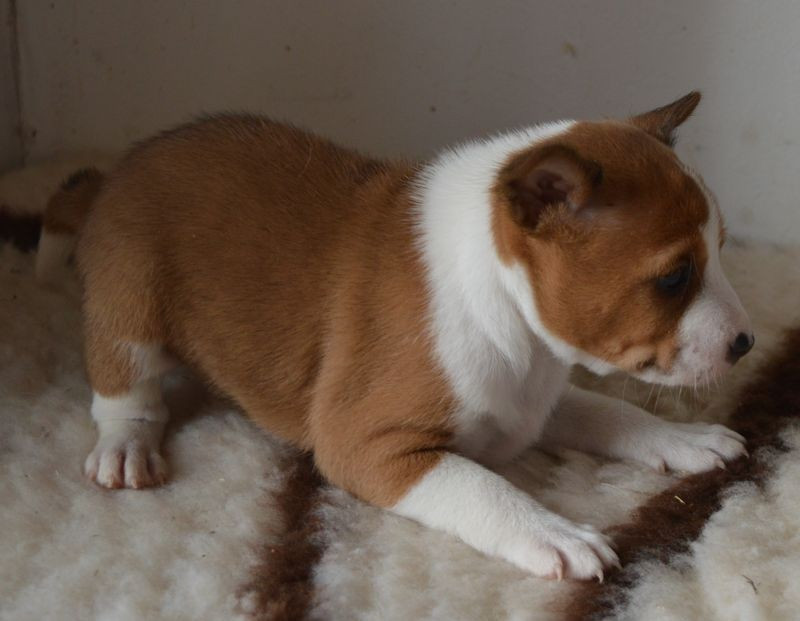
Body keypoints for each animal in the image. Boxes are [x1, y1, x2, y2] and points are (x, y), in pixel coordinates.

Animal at [38, 91, 752, 580]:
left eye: (719, 250)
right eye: (674, 277)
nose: (746, 343)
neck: (514, 324)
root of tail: (117, 172)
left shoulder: (533, 401)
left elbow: (610, 411)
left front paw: (684, 439)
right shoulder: (367, 446)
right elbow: (482, 487)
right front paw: (552, 531)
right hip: (131, 304)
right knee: (125, 390)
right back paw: (126, 446)